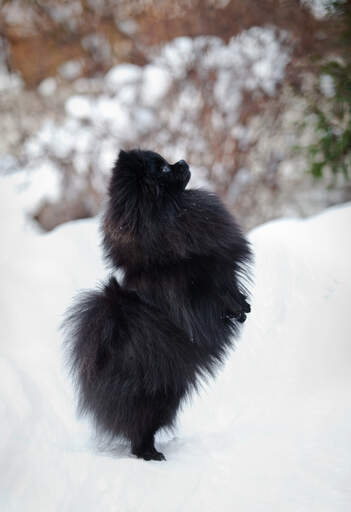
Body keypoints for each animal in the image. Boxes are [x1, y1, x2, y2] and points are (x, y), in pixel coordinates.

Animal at [64, 148, 253, 460]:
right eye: (164, 169)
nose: (183, 162)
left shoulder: (219, 267)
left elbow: (232, 288)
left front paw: (244, 307)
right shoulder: (200, 280)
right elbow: (220, 293)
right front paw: (237, 310)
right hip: (158, 399)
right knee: (140, 430)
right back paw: (151, 454)